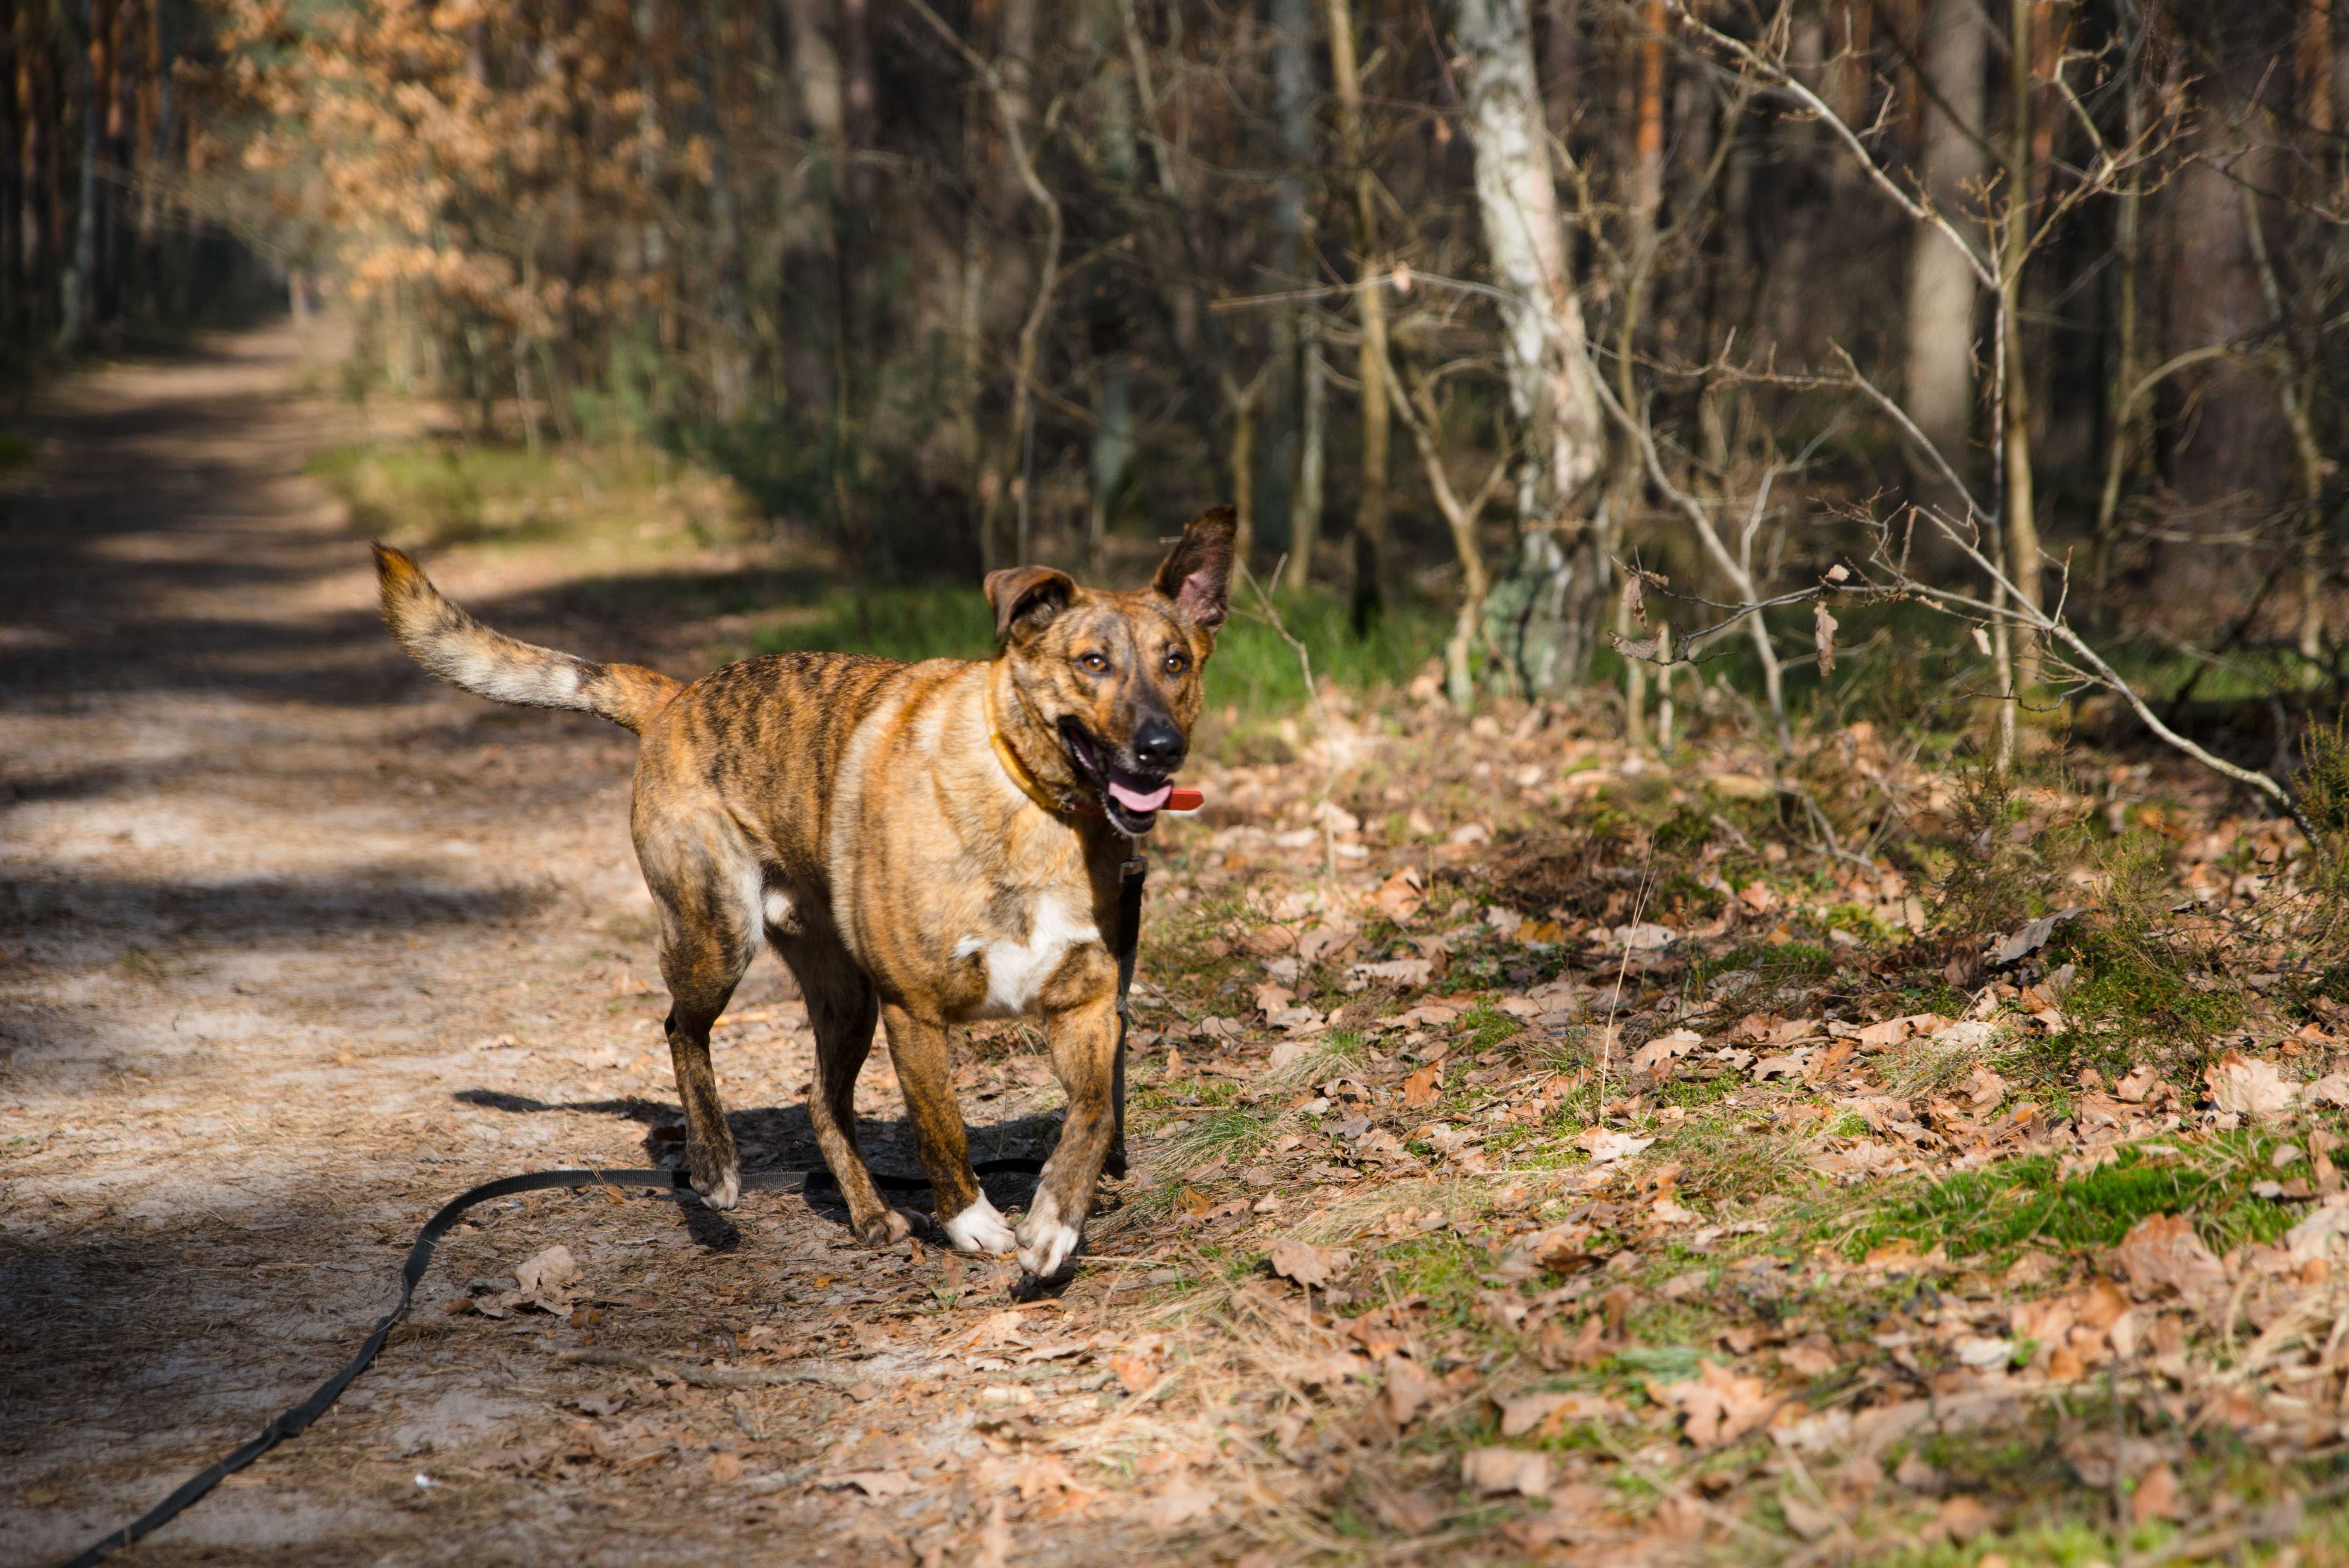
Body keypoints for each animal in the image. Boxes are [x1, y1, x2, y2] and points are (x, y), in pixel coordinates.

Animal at [371, 512, 1231, 1277]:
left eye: (1176, 662)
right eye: (1092, 662)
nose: (1160, 748)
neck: (1035, 806)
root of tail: (676, 698)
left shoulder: (1087, 1010)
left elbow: (1091, 1117)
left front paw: (1054, 1221)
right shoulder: (914, 1013)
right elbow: (942, 1128)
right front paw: (972, 1220)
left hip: (842, 995)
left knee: (822, 1101)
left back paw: (870, 1212)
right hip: (719, 933)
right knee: (682, 1030)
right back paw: (715, 1168)